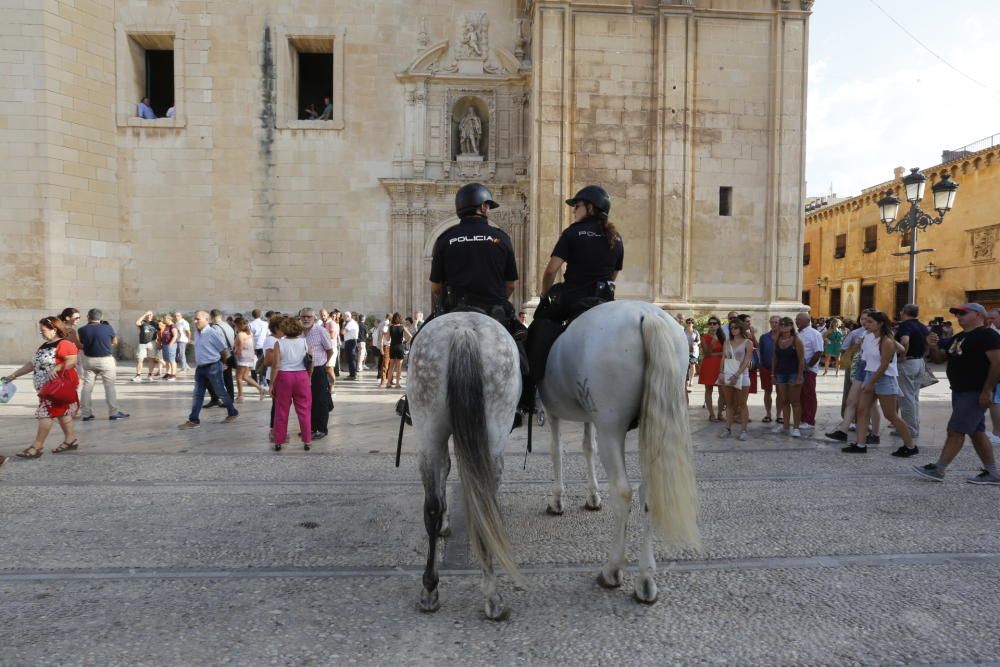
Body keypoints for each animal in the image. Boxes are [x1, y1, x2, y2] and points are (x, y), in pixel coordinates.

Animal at [406, 314, 528, 620]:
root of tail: (463, 329)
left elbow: (445, 476)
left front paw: (446, 523)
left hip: (428, 429)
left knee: (432, 506)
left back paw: (430, 588)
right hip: (494, 434)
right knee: (484, 500)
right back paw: (492, 595)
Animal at [540, 300, 704, 604]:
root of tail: (647, 315)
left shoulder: (554, 411)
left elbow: (557, 451)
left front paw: (557, 501)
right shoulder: (589, 416)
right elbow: (586, 448)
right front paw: (592, 496)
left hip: (611, 425)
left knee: (623, 492)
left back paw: (612, 570)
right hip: (652, 421)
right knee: (648, 492)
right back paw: (646, 579)